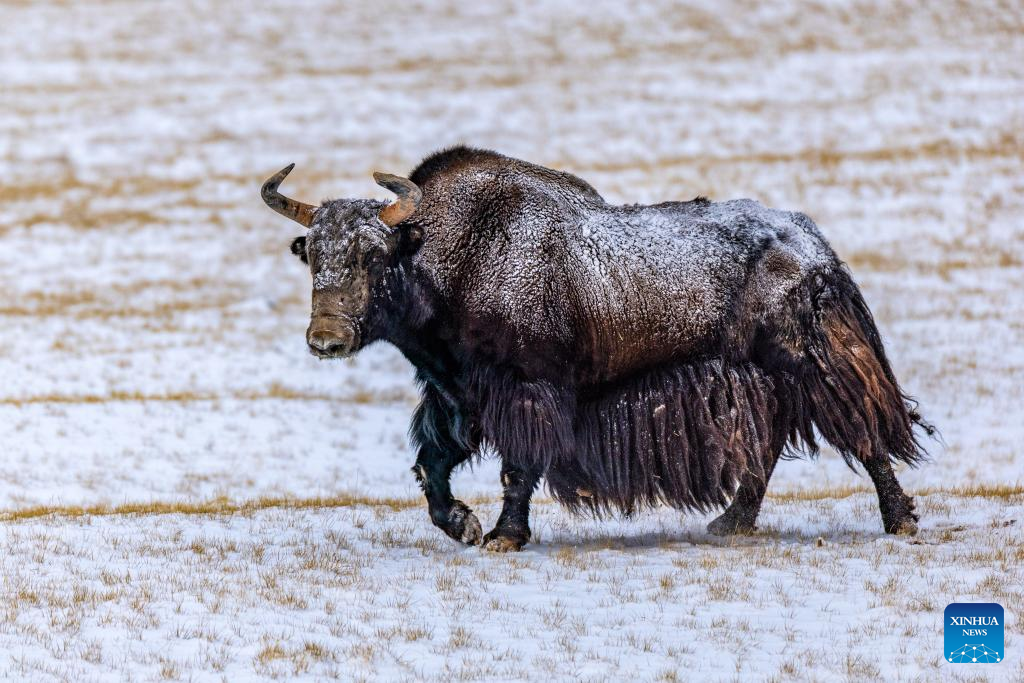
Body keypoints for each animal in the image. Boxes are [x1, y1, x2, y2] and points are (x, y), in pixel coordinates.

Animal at [261, 146, 933, 552]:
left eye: (372, 256)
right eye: (312, 253)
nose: (325, 340)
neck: (449, 261)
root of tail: (816, 247)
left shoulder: (528, 390)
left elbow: (517, 466)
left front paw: (503, 535)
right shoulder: (455, 395)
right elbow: (433, 464)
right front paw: (464, 525)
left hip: (807, 364)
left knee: (863, 430)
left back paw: (899, 520)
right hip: (756, 380)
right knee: (764, 449)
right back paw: (728, 522)